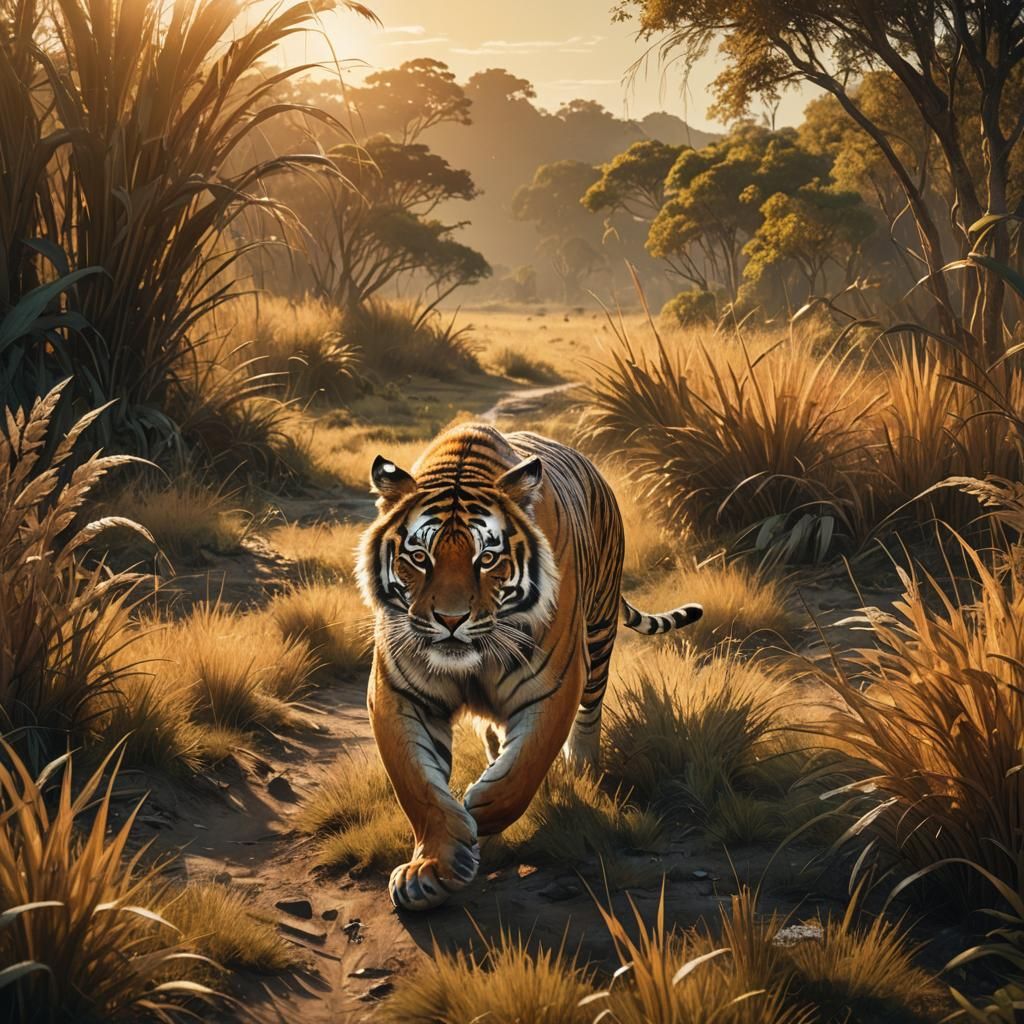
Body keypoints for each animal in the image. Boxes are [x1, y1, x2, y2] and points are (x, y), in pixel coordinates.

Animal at [356, 423, 702, 911]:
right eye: (419, 558)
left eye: (487, 559)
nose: (449, 620)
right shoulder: (398, 693)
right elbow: (417, 784)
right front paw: (431, 867)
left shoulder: (555, 683)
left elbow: (526, 765)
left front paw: (481, 812)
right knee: (493, 733)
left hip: (598, 636)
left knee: (589, 714)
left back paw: (582, 766)